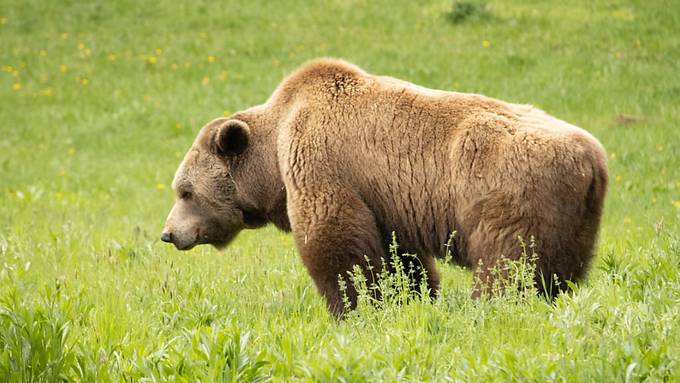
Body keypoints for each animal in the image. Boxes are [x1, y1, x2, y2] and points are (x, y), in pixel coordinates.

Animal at [162, 58, 608, 320]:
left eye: (185, 191)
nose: (168, 233)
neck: (272, 157)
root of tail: (592, 158)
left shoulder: (322, 161)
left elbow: (335, 241)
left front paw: (352, 307)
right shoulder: (387, 200)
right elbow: (400, 257)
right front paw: (408, 298)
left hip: (508, 192)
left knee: (507, 263)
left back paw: (492, 308)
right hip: (575, 220)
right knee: (559, 271)